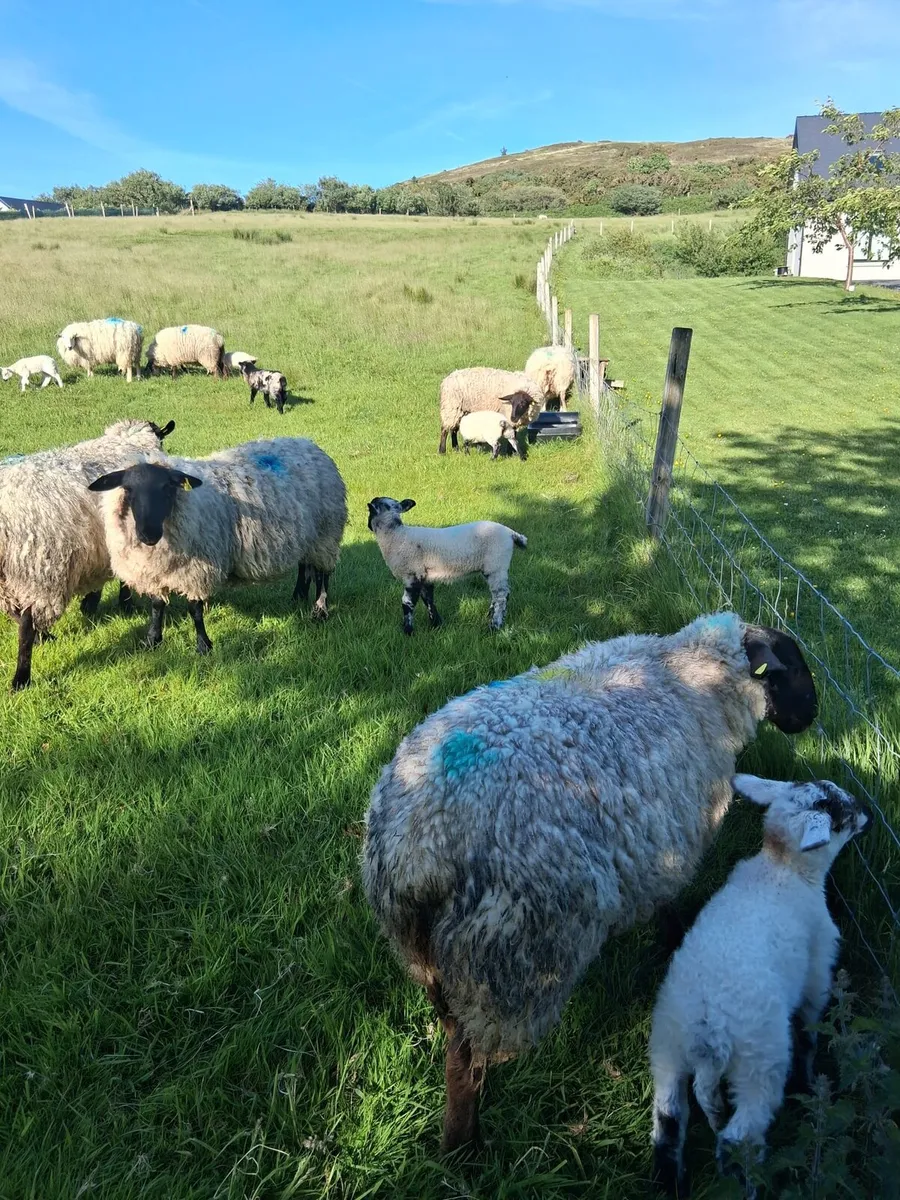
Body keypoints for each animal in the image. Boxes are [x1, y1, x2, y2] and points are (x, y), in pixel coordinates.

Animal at [0, 418, 176, 690]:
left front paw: (95, 604)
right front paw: (117, 604)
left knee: (22, 618)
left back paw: (41, 643)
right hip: (37, 570)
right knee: (26, 625)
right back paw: (22, 676)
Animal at [88, 437, 348, 654]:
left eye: (167, 487)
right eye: (128, 489)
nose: (148, 535)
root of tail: (309, 443)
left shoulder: (196, 570)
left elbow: (194, 609)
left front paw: (203, 646)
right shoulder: (156, 572)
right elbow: (156, 606)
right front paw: (152, 640)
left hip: (326, 533)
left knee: (323, 574)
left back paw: (320, 610)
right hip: (308, 536)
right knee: (305, 565)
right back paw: (298, 596)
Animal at [361, 612, 818, 1152]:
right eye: (790, 667)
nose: (812, 713)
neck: (692, 670)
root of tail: (415, 846)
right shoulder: (669, 840)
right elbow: (669, 906)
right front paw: (674, 939)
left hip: (431, 958)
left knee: (451, 1025)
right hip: (508, 956)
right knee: (465, 1061)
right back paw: (461, 1146)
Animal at [366, 496, 527, 634]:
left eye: (370, 512)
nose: (368, 526)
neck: (397, 535)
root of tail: (511, 533)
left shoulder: (412, 574)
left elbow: (407, 603)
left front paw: (408, 631)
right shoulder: (425, 575)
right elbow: (428, 599)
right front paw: (436, 624)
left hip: (497, 565)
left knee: (501, 596)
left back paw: (494, 626)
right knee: (497, 595)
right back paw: (490, 617)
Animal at [649, 774, 871, 1198]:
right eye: (844, 814)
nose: (867, 813)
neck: (781, 866)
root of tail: (708, 1038)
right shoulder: (818, 968)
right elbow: (811, 1028)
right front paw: (809, 1077)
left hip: (668, 1046)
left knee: (669, 1121)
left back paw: (674, 1184)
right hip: (760, 1063)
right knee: (736, 1139)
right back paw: (749, 1185)